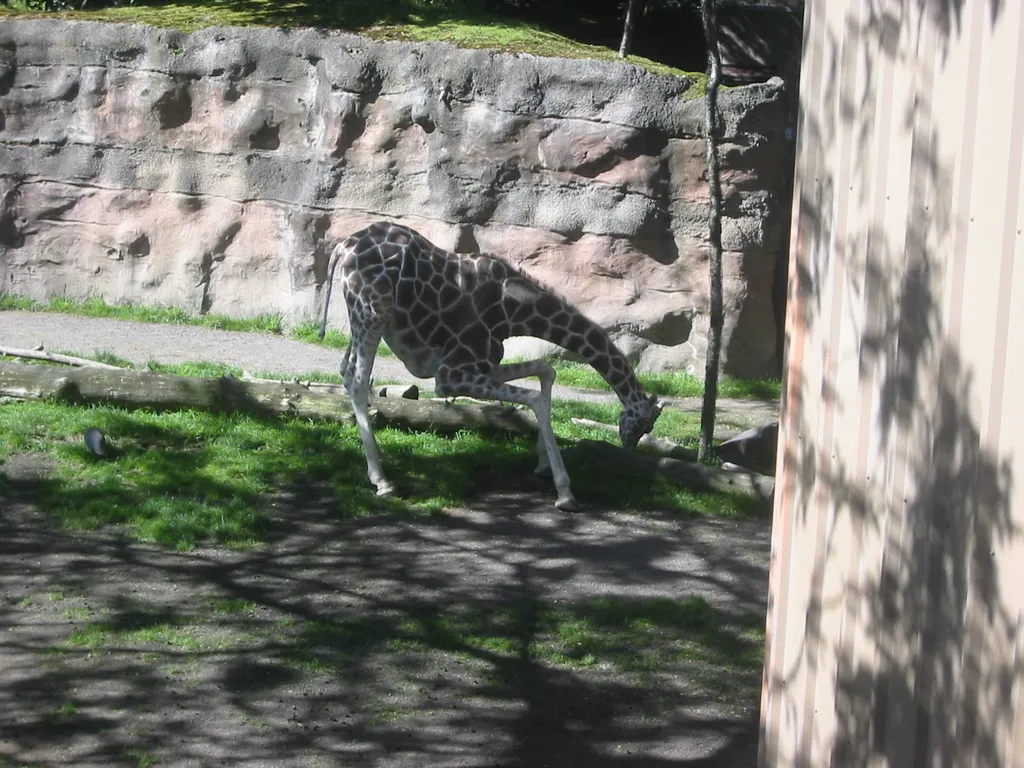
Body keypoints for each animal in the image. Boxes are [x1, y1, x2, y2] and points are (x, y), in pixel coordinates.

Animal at [319, 221, 663, 511]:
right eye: (644, 424)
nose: (628, 455)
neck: (514, 311)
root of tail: (343, 248)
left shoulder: (484, 366)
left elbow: (545, 370)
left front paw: (542, 465)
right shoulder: (451, 375)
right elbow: (534, 398)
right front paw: (565, 492)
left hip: (363, 320)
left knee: (345, 371)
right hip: (372, 313)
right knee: (359, 380)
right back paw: (383, 481)